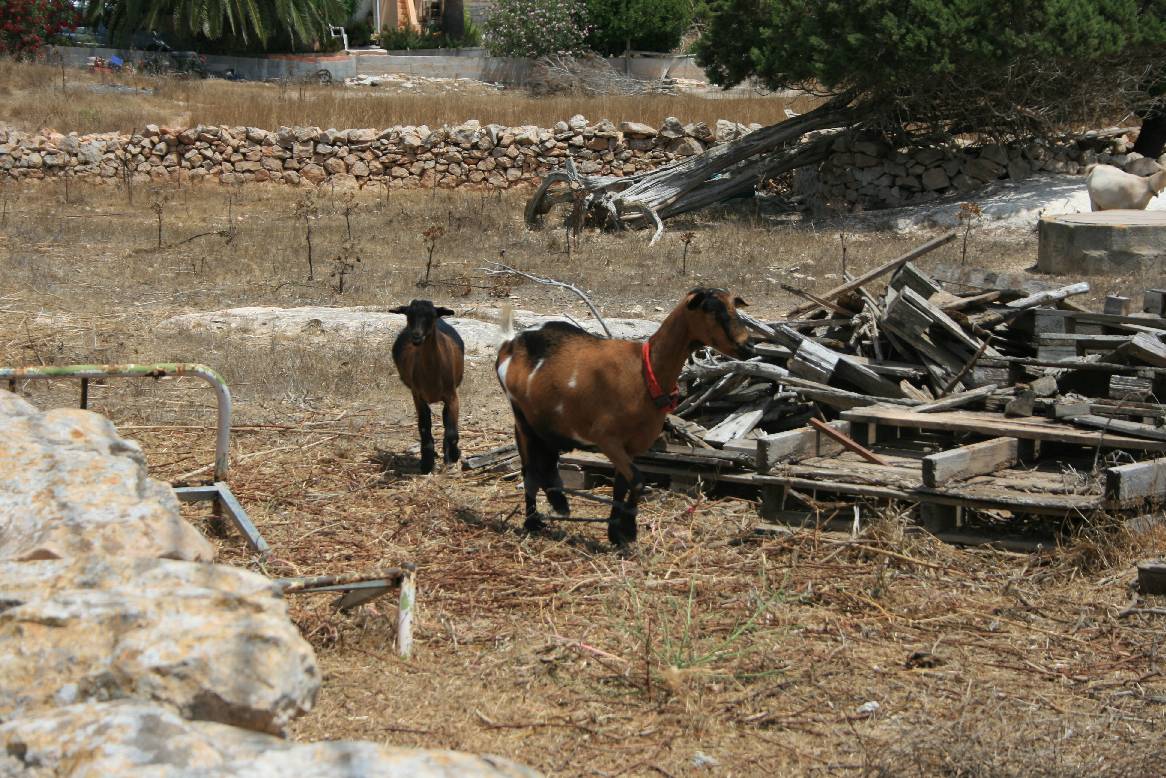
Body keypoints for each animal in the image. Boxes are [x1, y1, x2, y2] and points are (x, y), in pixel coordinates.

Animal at [391, 300, 464, 475]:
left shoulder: (452, 396)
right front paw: (426, 463)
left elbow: (452, 432)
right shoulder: (418, 397)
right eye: (408, 315)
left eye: (431, 316)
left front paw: (453, 456)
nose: (416, 336)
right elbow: (424, 428)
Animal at [494, 288, 750, 548]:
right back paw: (532, 521)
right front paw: (628, 530)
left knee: (546, 461)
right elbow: (637, 480)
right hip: (521, 417)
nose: (746, 345)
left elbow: (622, 484)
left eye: (733, 306)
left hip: (547, 422)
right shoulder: (606, 438)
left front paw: (616, 533)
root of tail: (511, 342)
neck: (645, 373)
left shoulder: (632, 445)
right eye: (710, 309)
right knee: (529, 469)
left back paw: (559, 504)